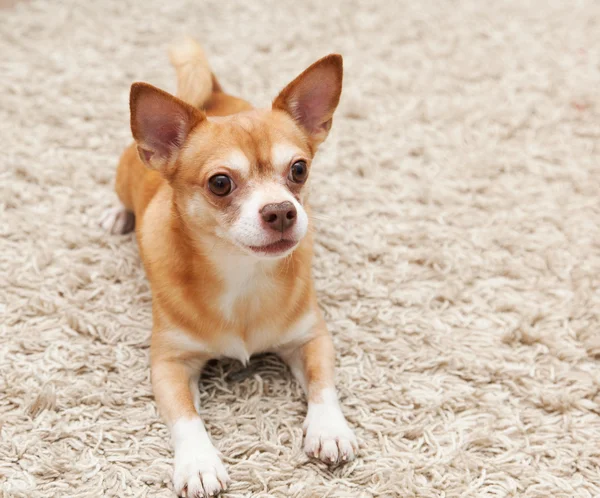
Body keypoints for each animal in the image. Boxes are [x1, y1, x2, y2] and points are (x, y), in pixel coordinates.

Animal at [101, 38, 356, 498]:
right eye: (220, 183)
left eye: (299, 169)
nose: (281, 210)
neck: (243, 275)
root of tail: (213, 93)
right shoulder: (169, 364)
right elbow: (186, 417)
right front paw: (199, 463)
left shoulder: (311, 338)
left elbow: (323, 383)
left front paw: (329, 428)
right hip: (123, 177)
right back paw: (117, 215)